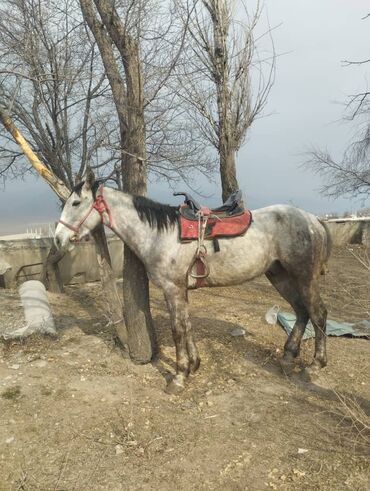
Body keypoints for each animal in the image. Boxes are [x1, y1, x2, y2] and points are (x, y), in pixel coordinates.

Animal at [55, 173, 332, 396]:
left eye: (76, 203)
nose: (58, 239)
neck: (159, 234)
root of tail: (313, 220)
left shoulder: (172, 289)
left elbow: (178, 329)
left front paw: (179, 376)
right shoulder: (180, 290)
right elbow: (187, 326)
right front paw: (195, 364)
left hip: (303, 276)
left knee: (318, 312)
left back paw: (314, 365)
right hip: (279, 275)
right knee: (301, 311)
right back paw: (288, 357)